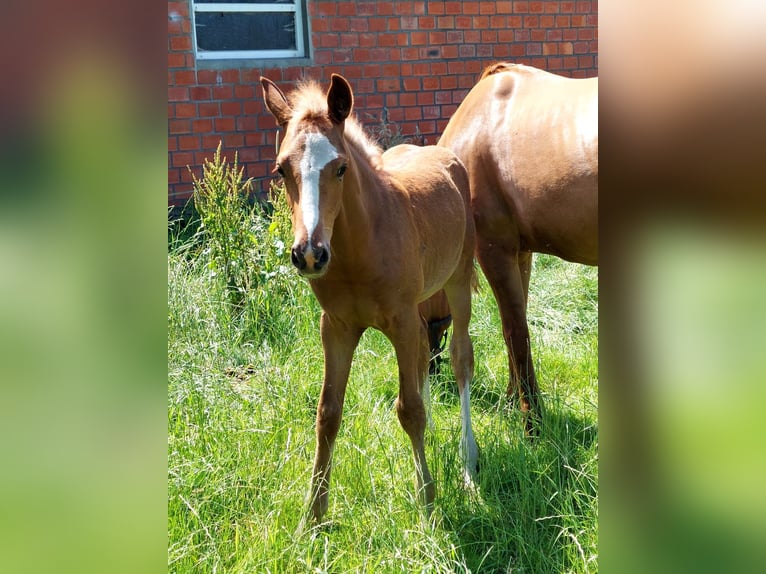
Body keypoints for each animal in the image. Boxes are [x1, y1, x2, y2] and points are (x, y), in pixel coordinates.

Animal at [264, 74, 480, 524]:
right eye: (281, 169)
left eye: (341, 168)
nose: (309, 254)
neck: (360, 250)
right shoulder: (337, 327)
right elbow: (328, 413)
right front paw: (312, 516)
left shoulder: (399, 320)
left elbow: (408, 409)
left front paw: (428, 505)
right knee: (424, 353)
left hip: (457, 280)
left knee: (460, 357)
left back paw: (468, 465)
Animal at [438, 63, 600, 432]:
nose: (435, 378)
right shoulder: (520, 253)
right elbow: (515, 321)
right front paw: (514, 400)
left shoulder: (493, 249)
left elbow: (515, 331)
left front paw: (532, 421)